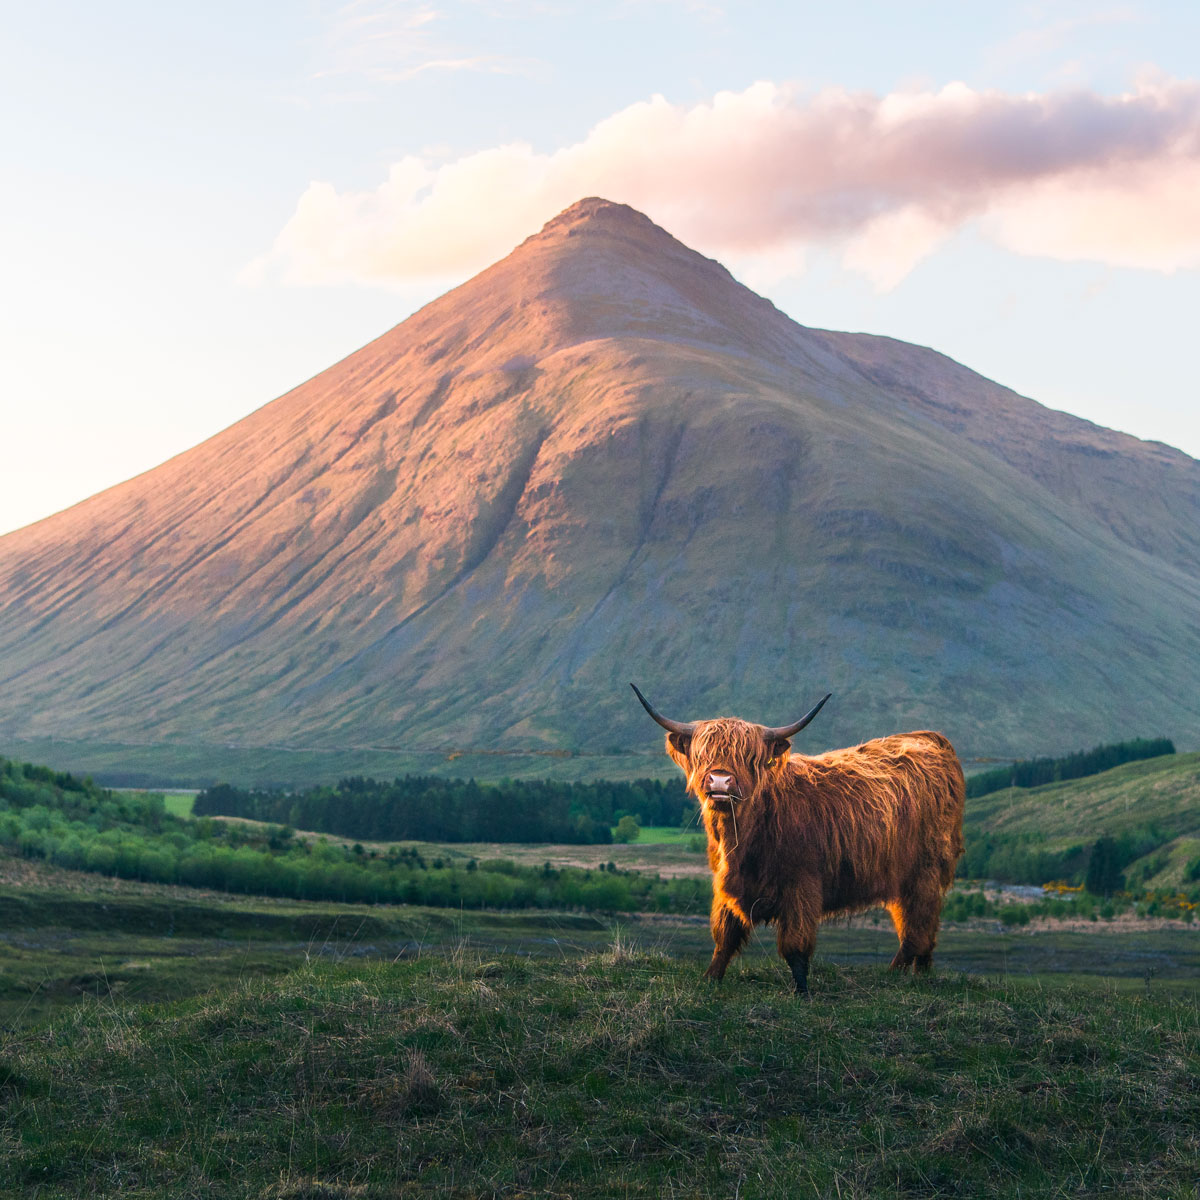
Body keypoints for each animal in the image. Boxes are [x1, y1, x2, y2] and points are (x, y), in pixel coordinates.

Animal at [628, 686, 964, 993]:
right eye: (702, 753)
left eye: (750, 757)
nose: (720, 781)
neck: (744, 836)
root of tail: (931, 738)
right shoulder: (728, 885)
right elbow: (725, 937)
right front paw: (710, 978)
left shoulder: (801, 887)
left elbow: (795, 947)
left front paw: (802, 990)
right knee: (924, 930)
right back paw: (922, 975)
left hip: (924, 873)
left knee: (917, 930)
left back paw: (894, 974)